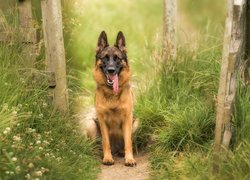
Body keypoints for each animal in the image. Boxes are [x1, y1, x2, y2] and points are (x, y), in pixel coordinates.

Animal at [94, 30, 137, 166]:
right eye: (105, 58)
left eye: (117, 58)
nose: (111, 70)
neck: (112, 94)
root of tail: (116, 149)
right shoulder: (102, 120)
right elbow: (106, 141)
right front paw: (107, 158)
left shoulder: (128, 118)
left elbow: (128, 142)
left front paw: (129, 158)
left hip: (136, 122)